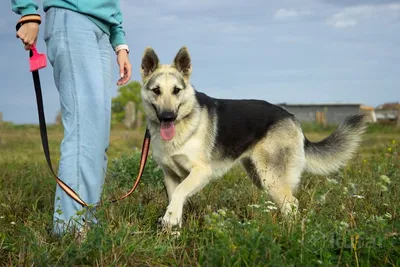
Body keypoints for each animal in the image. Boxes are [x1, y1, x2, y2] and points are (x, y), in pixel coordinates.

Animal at [138, 46, 368, 230]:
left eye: (176, 91)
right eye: (156, 90)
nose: (167, 117)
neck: (182, 125)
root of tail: (292, 117)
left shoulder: (202, 172)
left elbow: (179, 194)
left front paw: (169, 221)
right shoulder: (170, 176)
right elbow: (174, 200)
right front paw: (173, 229)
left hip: (272, 178)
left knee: (292, 205)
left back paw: (289, 235)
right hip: (260, 176)